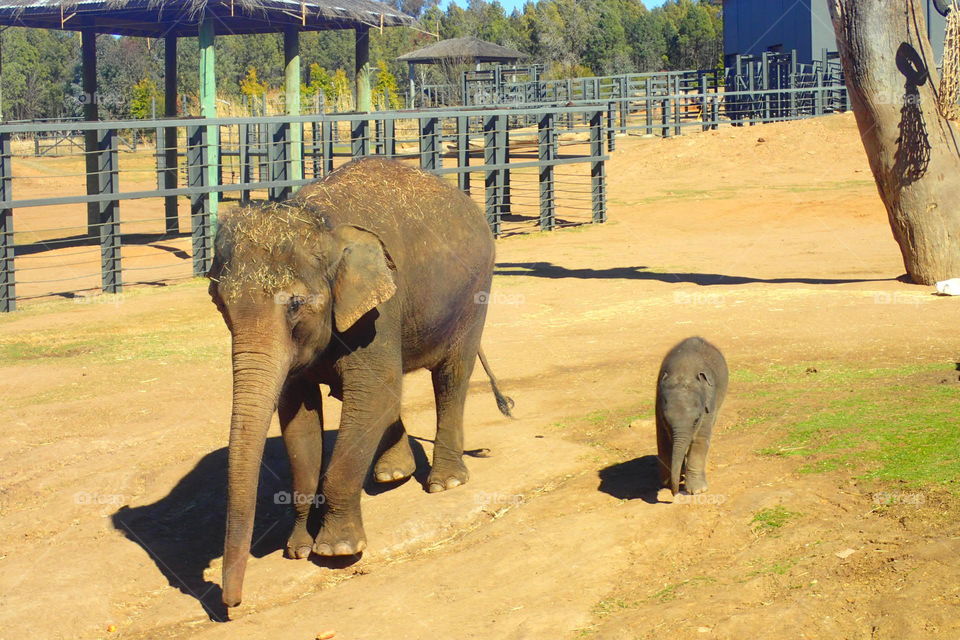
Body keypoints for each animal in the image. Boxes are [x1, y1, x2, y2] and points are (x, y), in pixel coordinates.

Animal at [207, 157, 513, 607]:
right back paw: (392, 474)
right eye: (220, 303)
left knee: (451, 376)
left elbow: (369, 396)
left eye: (295, 304)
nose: (231, 604)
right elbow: (299, 419)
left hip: (476, 291)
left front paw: (337, 550)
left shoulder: (380, 310)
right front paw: (297, 549)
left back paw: (445, 483)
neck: (319, 220)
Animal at [655, 336, 728, 496]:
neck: (682, 373)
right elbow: (663, 439)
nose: (675, 494)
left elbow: (700, 439)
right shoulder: (658, 403)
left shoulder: (708, 404)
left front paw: (697, 490)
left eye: (696, 420)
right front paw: (666, 482)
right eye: (666, 421)